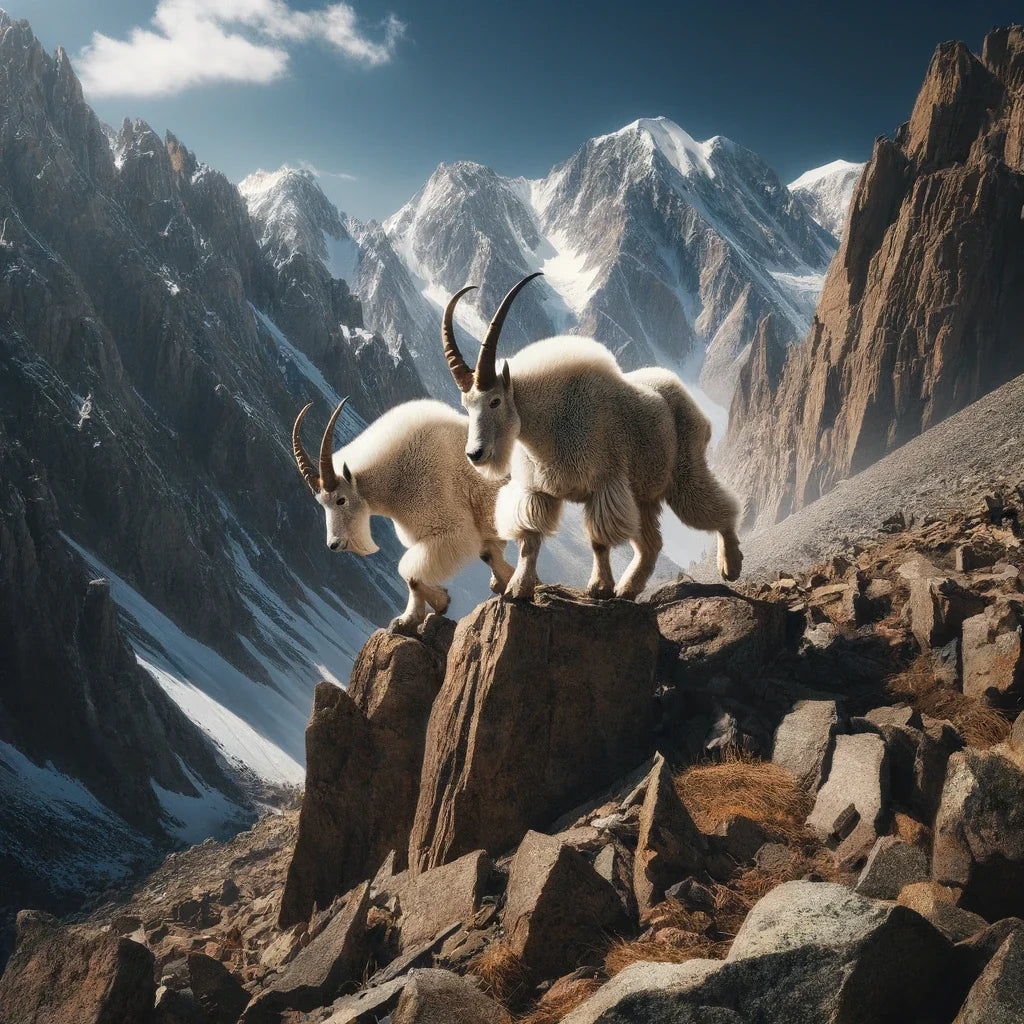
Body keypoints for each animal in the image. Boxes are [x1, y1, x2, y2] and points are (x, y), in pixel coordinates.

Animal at [292, 398, 513, 633]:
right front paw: (407, 620)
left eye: (340, 500)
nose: (334, 544)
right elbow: (484, 553)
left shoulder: (452, 530)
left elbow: (409, 573)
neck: (396, 479)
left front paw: (439, 602)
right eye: (322, 504)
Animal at [441, 273, 743, 600]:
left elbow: (599, 541)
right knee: (651, 544)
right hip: (642, 493)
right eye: (466, 405)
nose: (475, 454)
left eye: (495, 401)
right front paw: (518, 588)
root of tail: (684, 395)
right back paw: (627, 589)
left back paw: (730, 565)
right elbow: (530, 541)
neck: (550, 424)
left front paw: (598, 587)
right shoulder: (538, 491)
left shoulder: (603, 485)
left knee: (715, 508)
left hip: (684, 473)